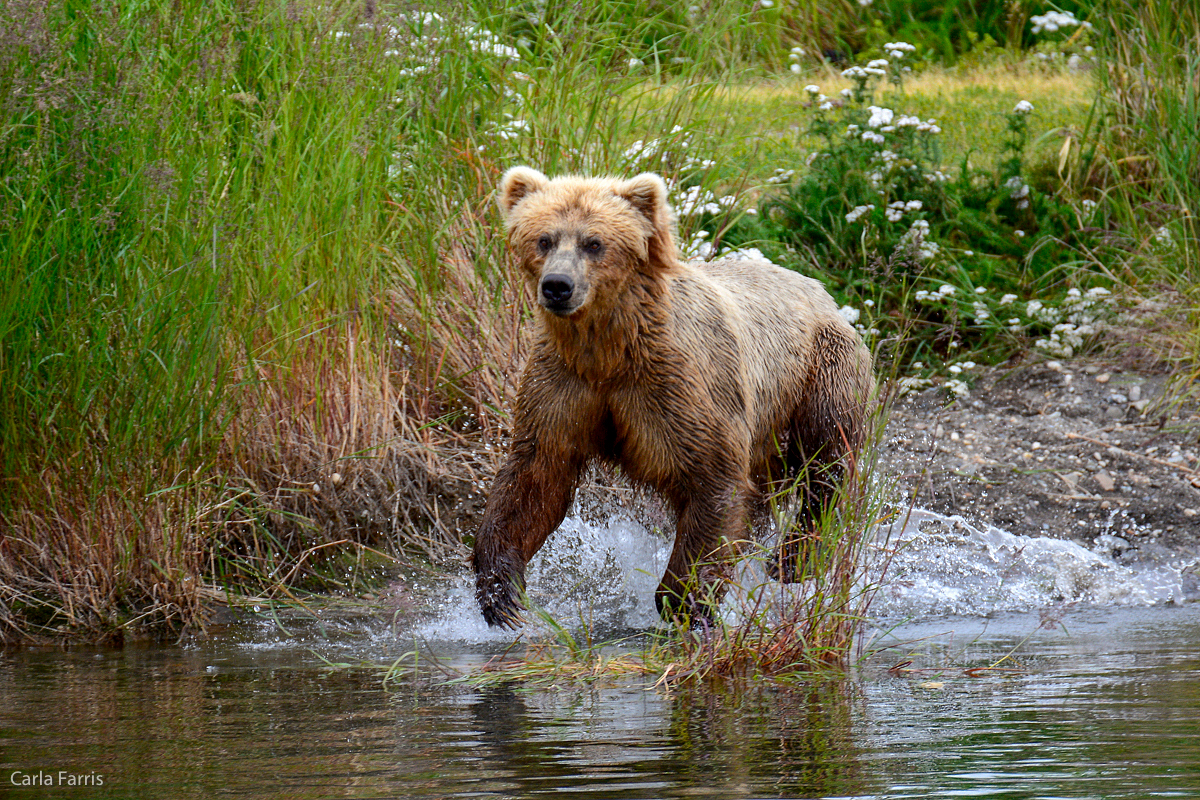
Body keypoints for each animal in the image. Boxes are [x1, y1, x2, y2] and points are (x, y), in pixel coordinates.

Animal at [468, 169, 873, 628]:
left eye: (594, 243)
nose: (557, 286)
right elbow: (536, 476)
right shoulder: (565, 385)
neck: (610, 350)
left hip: (821, 371)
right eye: (544, 239)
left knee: (826, 461)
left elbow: (713, 478)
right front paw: (500, 591)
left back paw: (791, 561)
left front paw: (683, 598)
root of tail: (822, 291)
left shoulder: (680, 387)